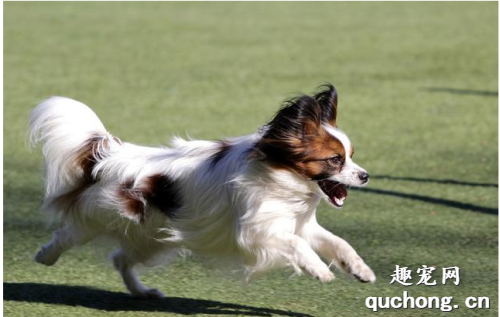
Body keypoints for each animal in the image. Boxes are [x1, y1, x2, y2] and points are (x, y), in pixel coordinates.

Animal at [30, 83, 376, 296]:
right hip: (97, 217)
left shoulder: (299, 225)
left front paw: (360, 270)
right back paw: (45, 256)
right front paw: (318, 270)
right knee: (67, 235)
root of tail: (111, 154)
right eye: (335, 160)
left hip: (151, 240)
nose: (365, 176)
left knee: (120, 259)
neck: (282, 178)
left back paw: (142, 292)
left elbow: (339, 243)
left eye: (351, 155)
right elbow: (298, 246)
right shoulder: (255, 233)